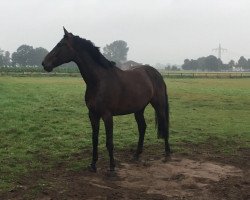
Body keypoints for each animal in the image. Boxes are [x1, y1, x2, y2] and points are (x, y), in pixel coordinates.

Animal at [42, 27, 170, 173]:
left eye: (60, 45)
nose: (44, 63)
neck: (99, 80)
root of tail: (155, 72)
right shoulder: (93, 115)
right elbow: (94, 139)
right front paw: (93, 164)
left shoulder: (107, 115)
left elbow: (109, 142)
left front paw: (112, 167)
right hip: (139, 109)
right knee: (142, 127)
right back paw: (136, 155)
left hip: (159, 105)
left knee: (164, 125)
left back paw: (167, 154)